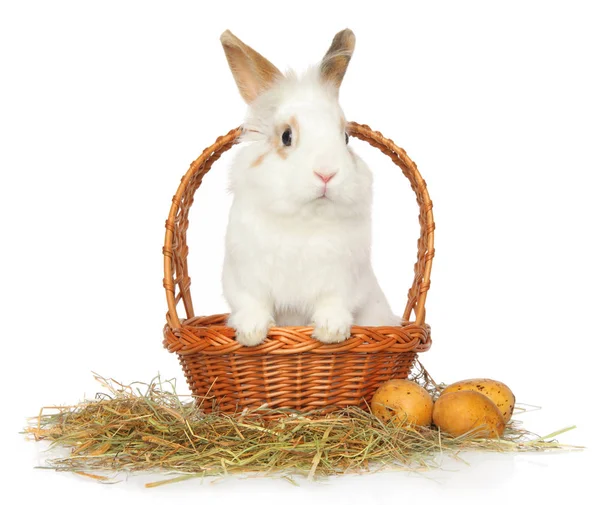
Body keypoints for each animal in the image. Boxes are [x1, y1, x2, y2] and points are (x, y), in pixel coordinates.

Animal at [220, 28, 404, 346]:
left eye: (345, 138)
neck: (305, 220)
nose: (326, 174)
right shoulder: (244, 277)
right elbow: (253, 303)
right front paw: (251, 334)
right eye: (286, 136)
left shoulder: (345, 280)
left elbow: (334, 303)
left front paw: (331, 331)